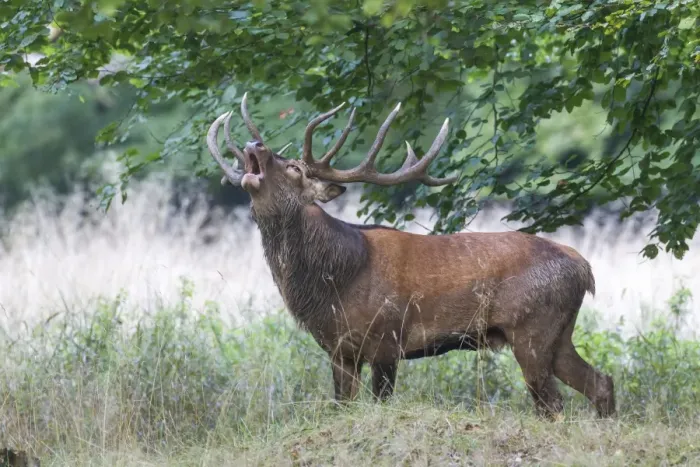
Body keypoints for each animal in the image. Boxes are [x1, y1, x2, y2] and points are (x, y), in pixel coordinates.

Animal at [205, 93, 616, 419]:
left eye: (292, 167)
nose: (254, 145)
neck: (335, 281)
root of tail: (584, 268)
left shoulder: (387, 337)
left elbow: (381, 402)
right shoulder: (340, 350)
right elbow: (342, 407)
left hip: (531, 327)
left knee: (552, 404)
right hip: (559, 332)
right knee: (601, 381)